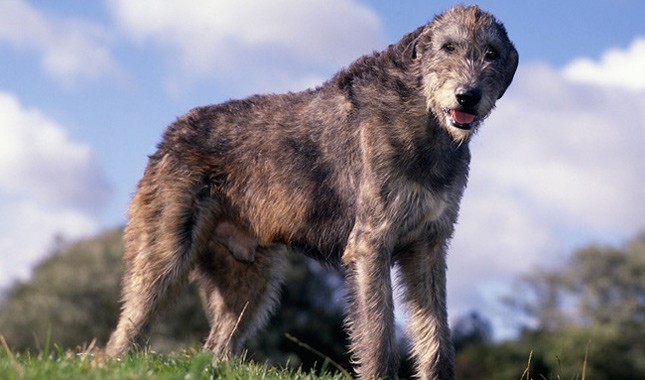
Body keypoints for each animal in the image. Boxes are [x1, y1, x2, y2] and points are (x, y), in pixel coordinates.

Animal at [105, 4, 520, 378]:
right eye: (448, 46)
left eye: (491, 53)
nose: (467, 96)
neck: (425, 119)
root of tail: (171, 132)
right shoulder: (371, 244)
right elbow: (378, 333)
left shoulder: (429, 246)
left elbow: (436, 335)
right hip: (164, 253)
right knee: (125, 330)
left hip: (250, 280)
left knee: (216, 346)